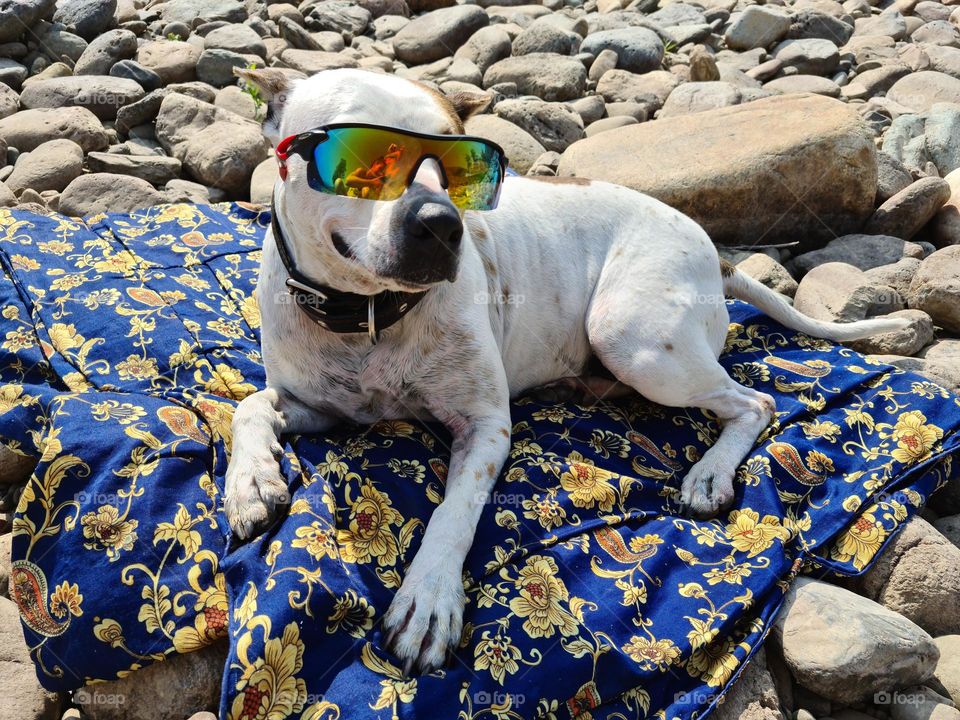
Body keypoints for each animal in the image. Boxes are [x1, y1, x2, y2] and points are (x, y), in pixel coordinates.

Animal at [225, 67, 908, 676]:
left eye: (463, 166)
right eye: (359, 156)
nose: (442, 223)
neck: (370, 316)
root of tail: (716, 252)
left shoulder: (485, 426)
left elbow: (453, 513)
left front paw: (428, 599)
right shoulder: (311, 401)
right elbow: (248, 405)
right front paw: (250, 482)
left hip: (632, 338)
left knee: (755, 403)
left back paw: (710, 473)